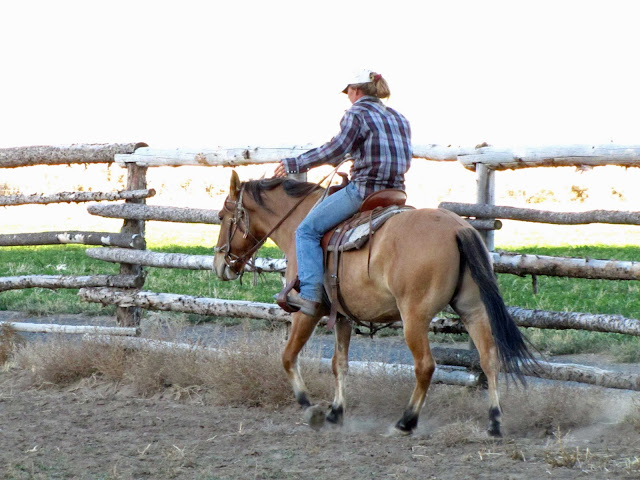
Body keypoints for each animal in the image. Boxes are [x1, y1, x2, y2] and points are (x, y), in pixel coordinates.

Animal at [214, 171, 537, 436]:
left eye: (221, 216)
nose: (220, 264)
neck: (298, 223)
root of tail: (459, 229)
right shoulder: (342, 316)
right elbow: (339, 364)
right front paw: (335, 413)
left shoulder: (307, 312)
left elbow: (288, 356)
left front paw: (311, 408)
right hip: (473, 309)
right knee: (489, 358)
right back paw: (494, 422)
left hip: (415, 317)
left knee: (425, 366)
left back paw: (405, 422)